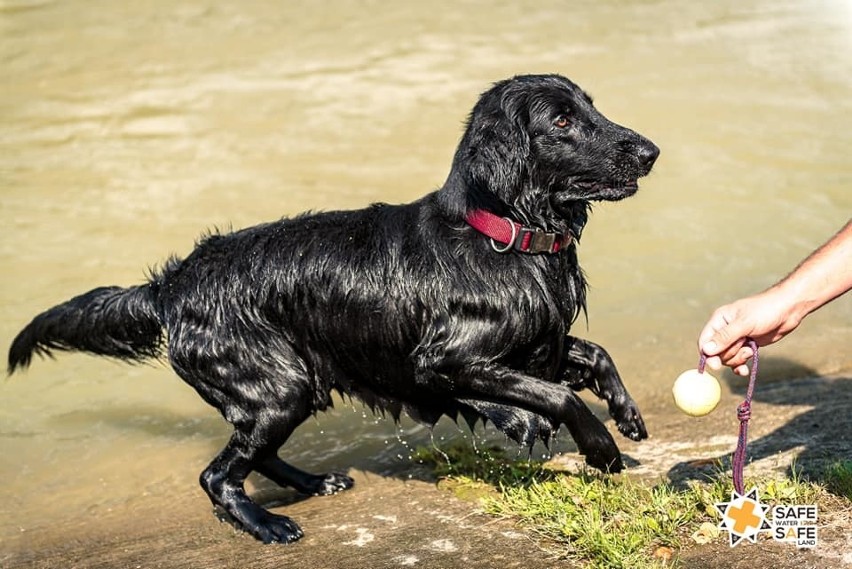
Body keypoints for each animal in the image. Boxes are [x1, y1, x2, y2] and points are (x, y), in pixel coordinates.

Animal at [8, 73, 660, 544]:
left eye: (591, 107)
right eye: (562, 120)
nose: (651, 150)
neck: (502, 234)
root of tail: (170, 286)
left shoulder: (535, 344)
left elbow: (590, 355)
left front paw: (627, 415)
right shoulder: (444, 360)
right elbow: (556, 395)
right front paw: (601, 447)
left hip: (289, 388)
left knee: (258, 455)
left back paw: (316, 481)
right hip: (279, 387)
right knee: (217, 474)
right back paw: (270, 525)